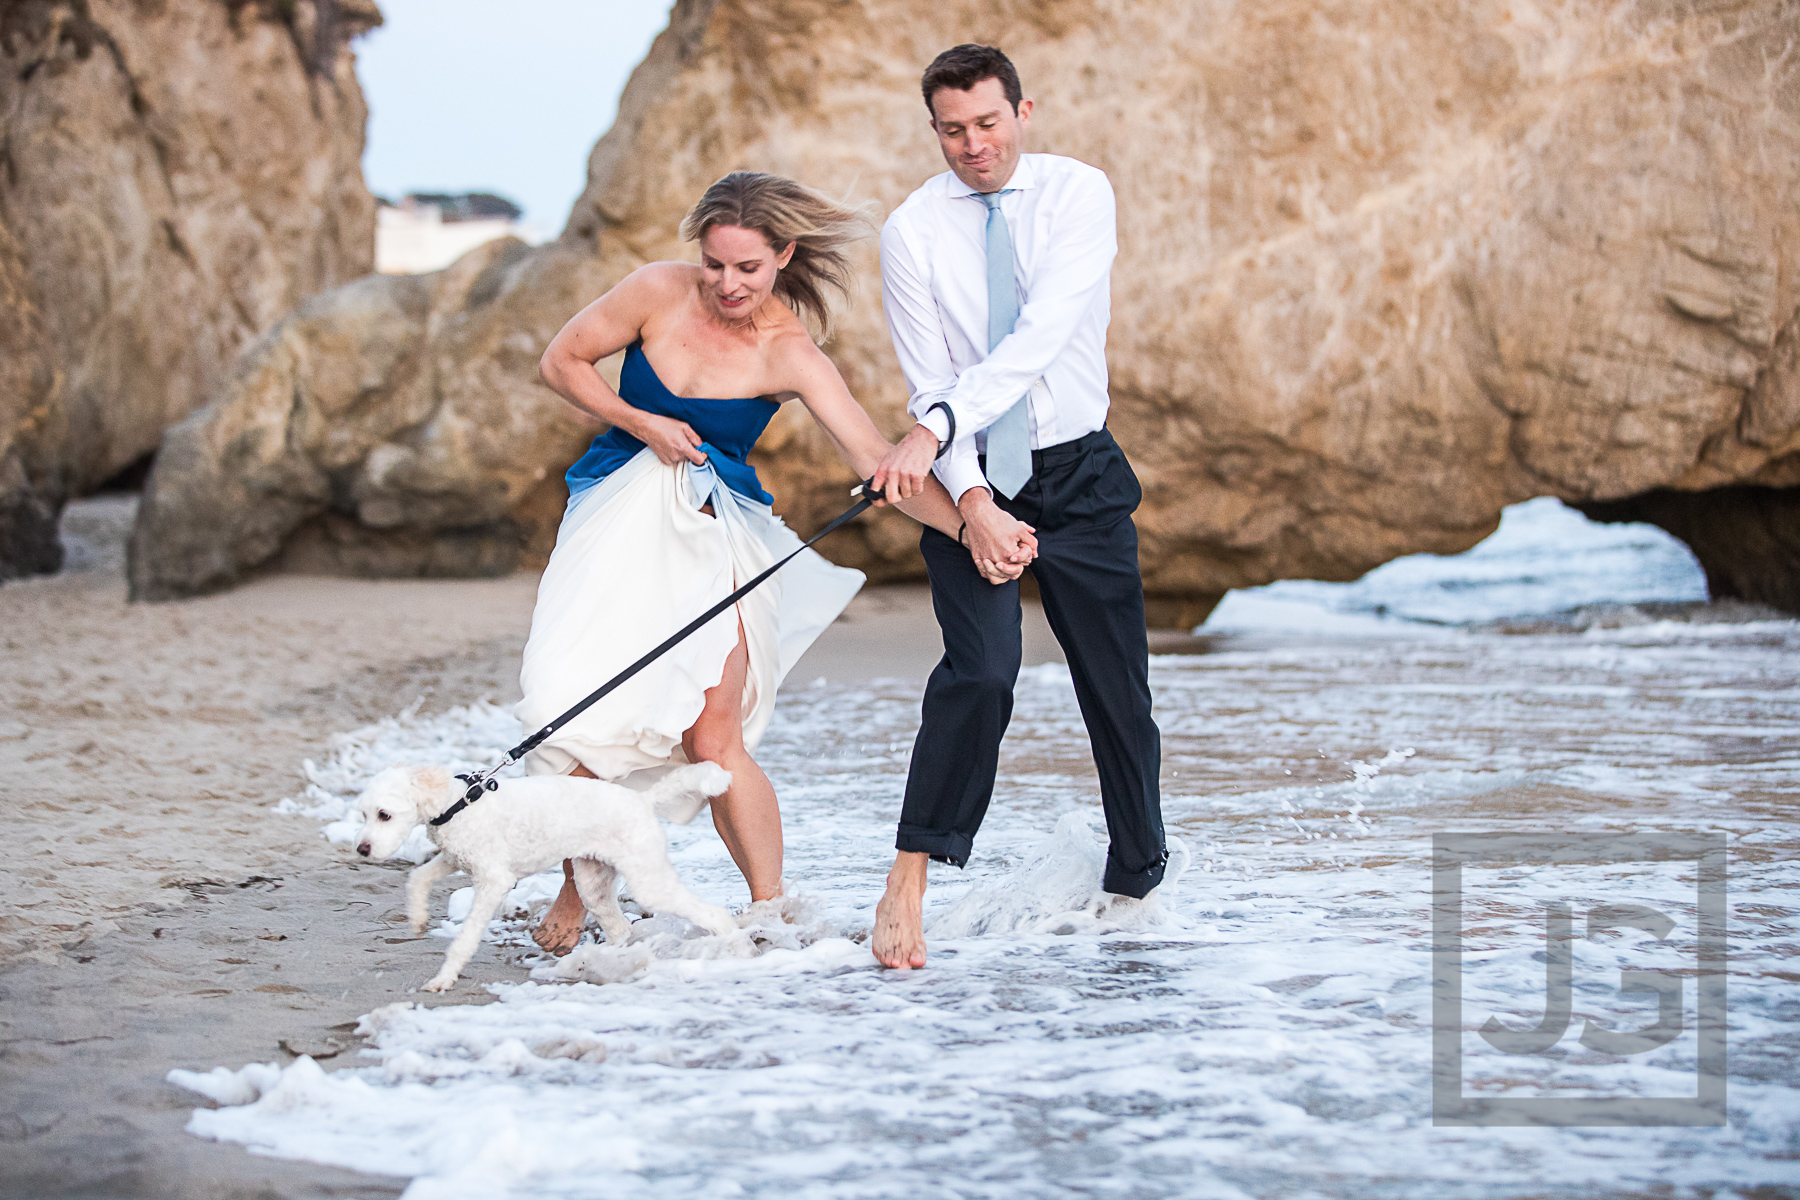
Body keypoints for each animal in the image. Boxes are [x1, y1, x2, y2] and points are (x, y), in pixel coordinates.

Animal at [351, 766, 745, 993]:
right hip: (592, 882)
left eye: (385, 815)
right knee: (620, 929)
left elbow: (464, 940)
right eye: (364, 814)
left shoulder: (494, 879)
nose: (362, 849)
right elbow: (417, 877)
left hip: (647, 881)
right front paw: (417, 918)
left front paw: (443, 978)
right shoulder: (454, 858)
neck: (459, 804)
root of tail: (643, 801)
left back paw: (736, 950)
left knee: (713, 914)